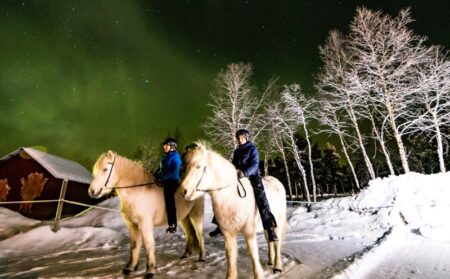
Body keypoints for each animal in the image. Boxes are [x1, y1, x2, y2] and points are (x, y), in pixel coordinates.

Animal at [178, 143, 284, 278]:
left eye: (198, 166)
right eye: (186, 166)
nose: (183, 191)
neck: (232, 197)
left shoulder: (249, 231)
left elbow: (253, 253)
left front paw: (258, 274)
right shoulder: (228, 233)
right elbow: (230, 253)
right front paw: (231, 275)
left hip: (278, 222)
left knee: (277, 242)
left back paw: (277, 266)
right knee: (269, 240)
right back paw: (270, 261)